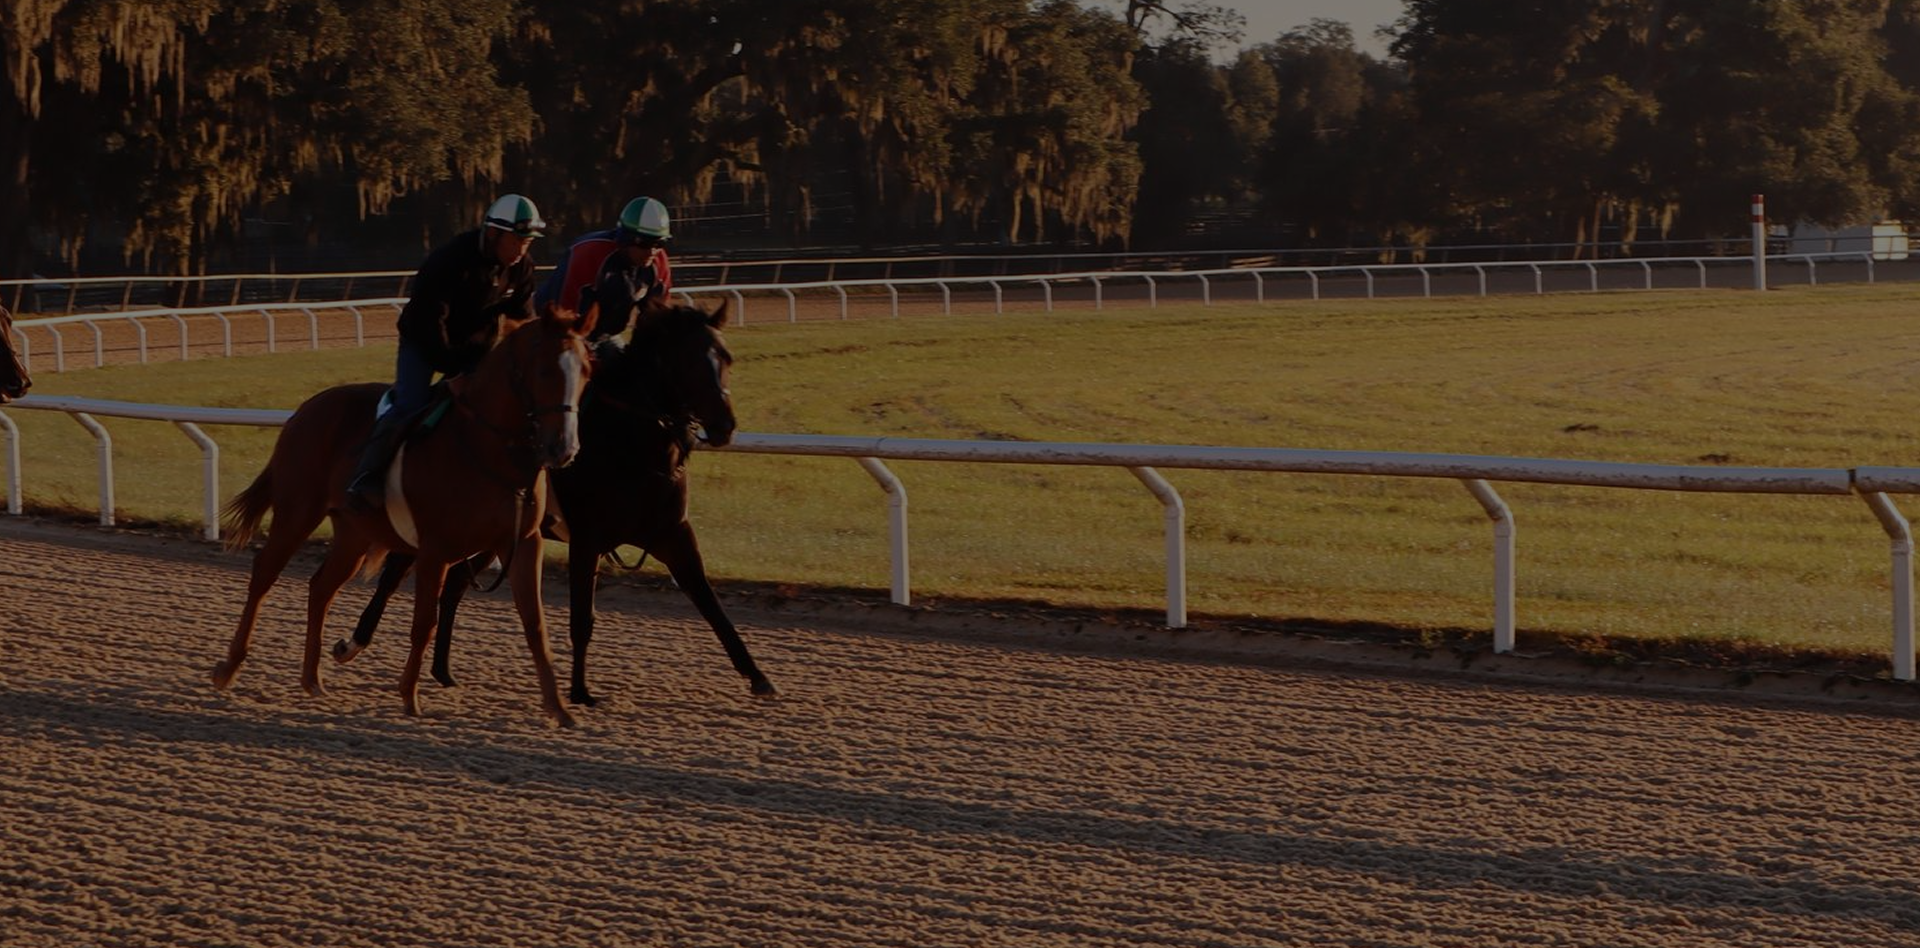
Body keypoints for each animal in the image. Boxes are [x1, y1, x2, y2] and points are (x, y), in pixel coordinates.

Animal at [212, 306, 596, 726]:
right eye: (544, 370)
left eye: (586, 370)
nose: (563, 448)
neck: (489, 450)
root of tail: (305, 409)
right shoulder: (435, 549)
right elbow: (424, 623)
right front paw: (410, 697)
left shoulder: (524, 542)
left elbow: (535, 625)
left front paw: (560, 709)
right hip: (298, 510)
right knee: (264, 574)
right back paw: (229, 667)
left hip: (354, 532)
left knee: (321, 587)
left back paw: (312, 679)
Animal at [334, 299, 775, 706]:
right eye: (687, 360)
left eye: (726, 357)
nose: (725, 426)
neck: (630, 444)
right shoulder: (587, 538)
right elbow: (582, 617)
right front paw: (580, 691)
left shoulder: (672, 533)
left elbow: (710, 603)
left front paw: (758, 677)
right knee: (394, 575)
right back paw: (353, 644)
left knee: (455, 584)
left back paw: (442, 670)